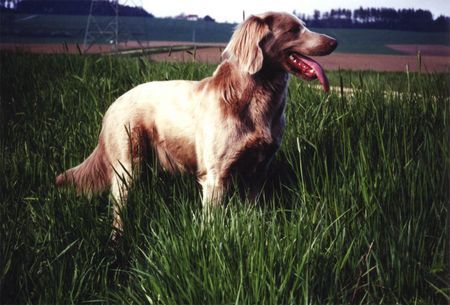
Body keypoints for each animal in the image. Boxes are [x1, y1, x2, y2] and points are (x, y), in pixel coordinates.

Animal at [55, 10, 338, 232]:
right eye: (294, 29)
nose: (334, 41)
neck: (254, 97)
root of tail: (113, 105)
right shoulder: (215, 176)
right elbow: (212, 222)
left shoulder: (259, 169)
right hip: (127, 167)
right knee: (118, 213)